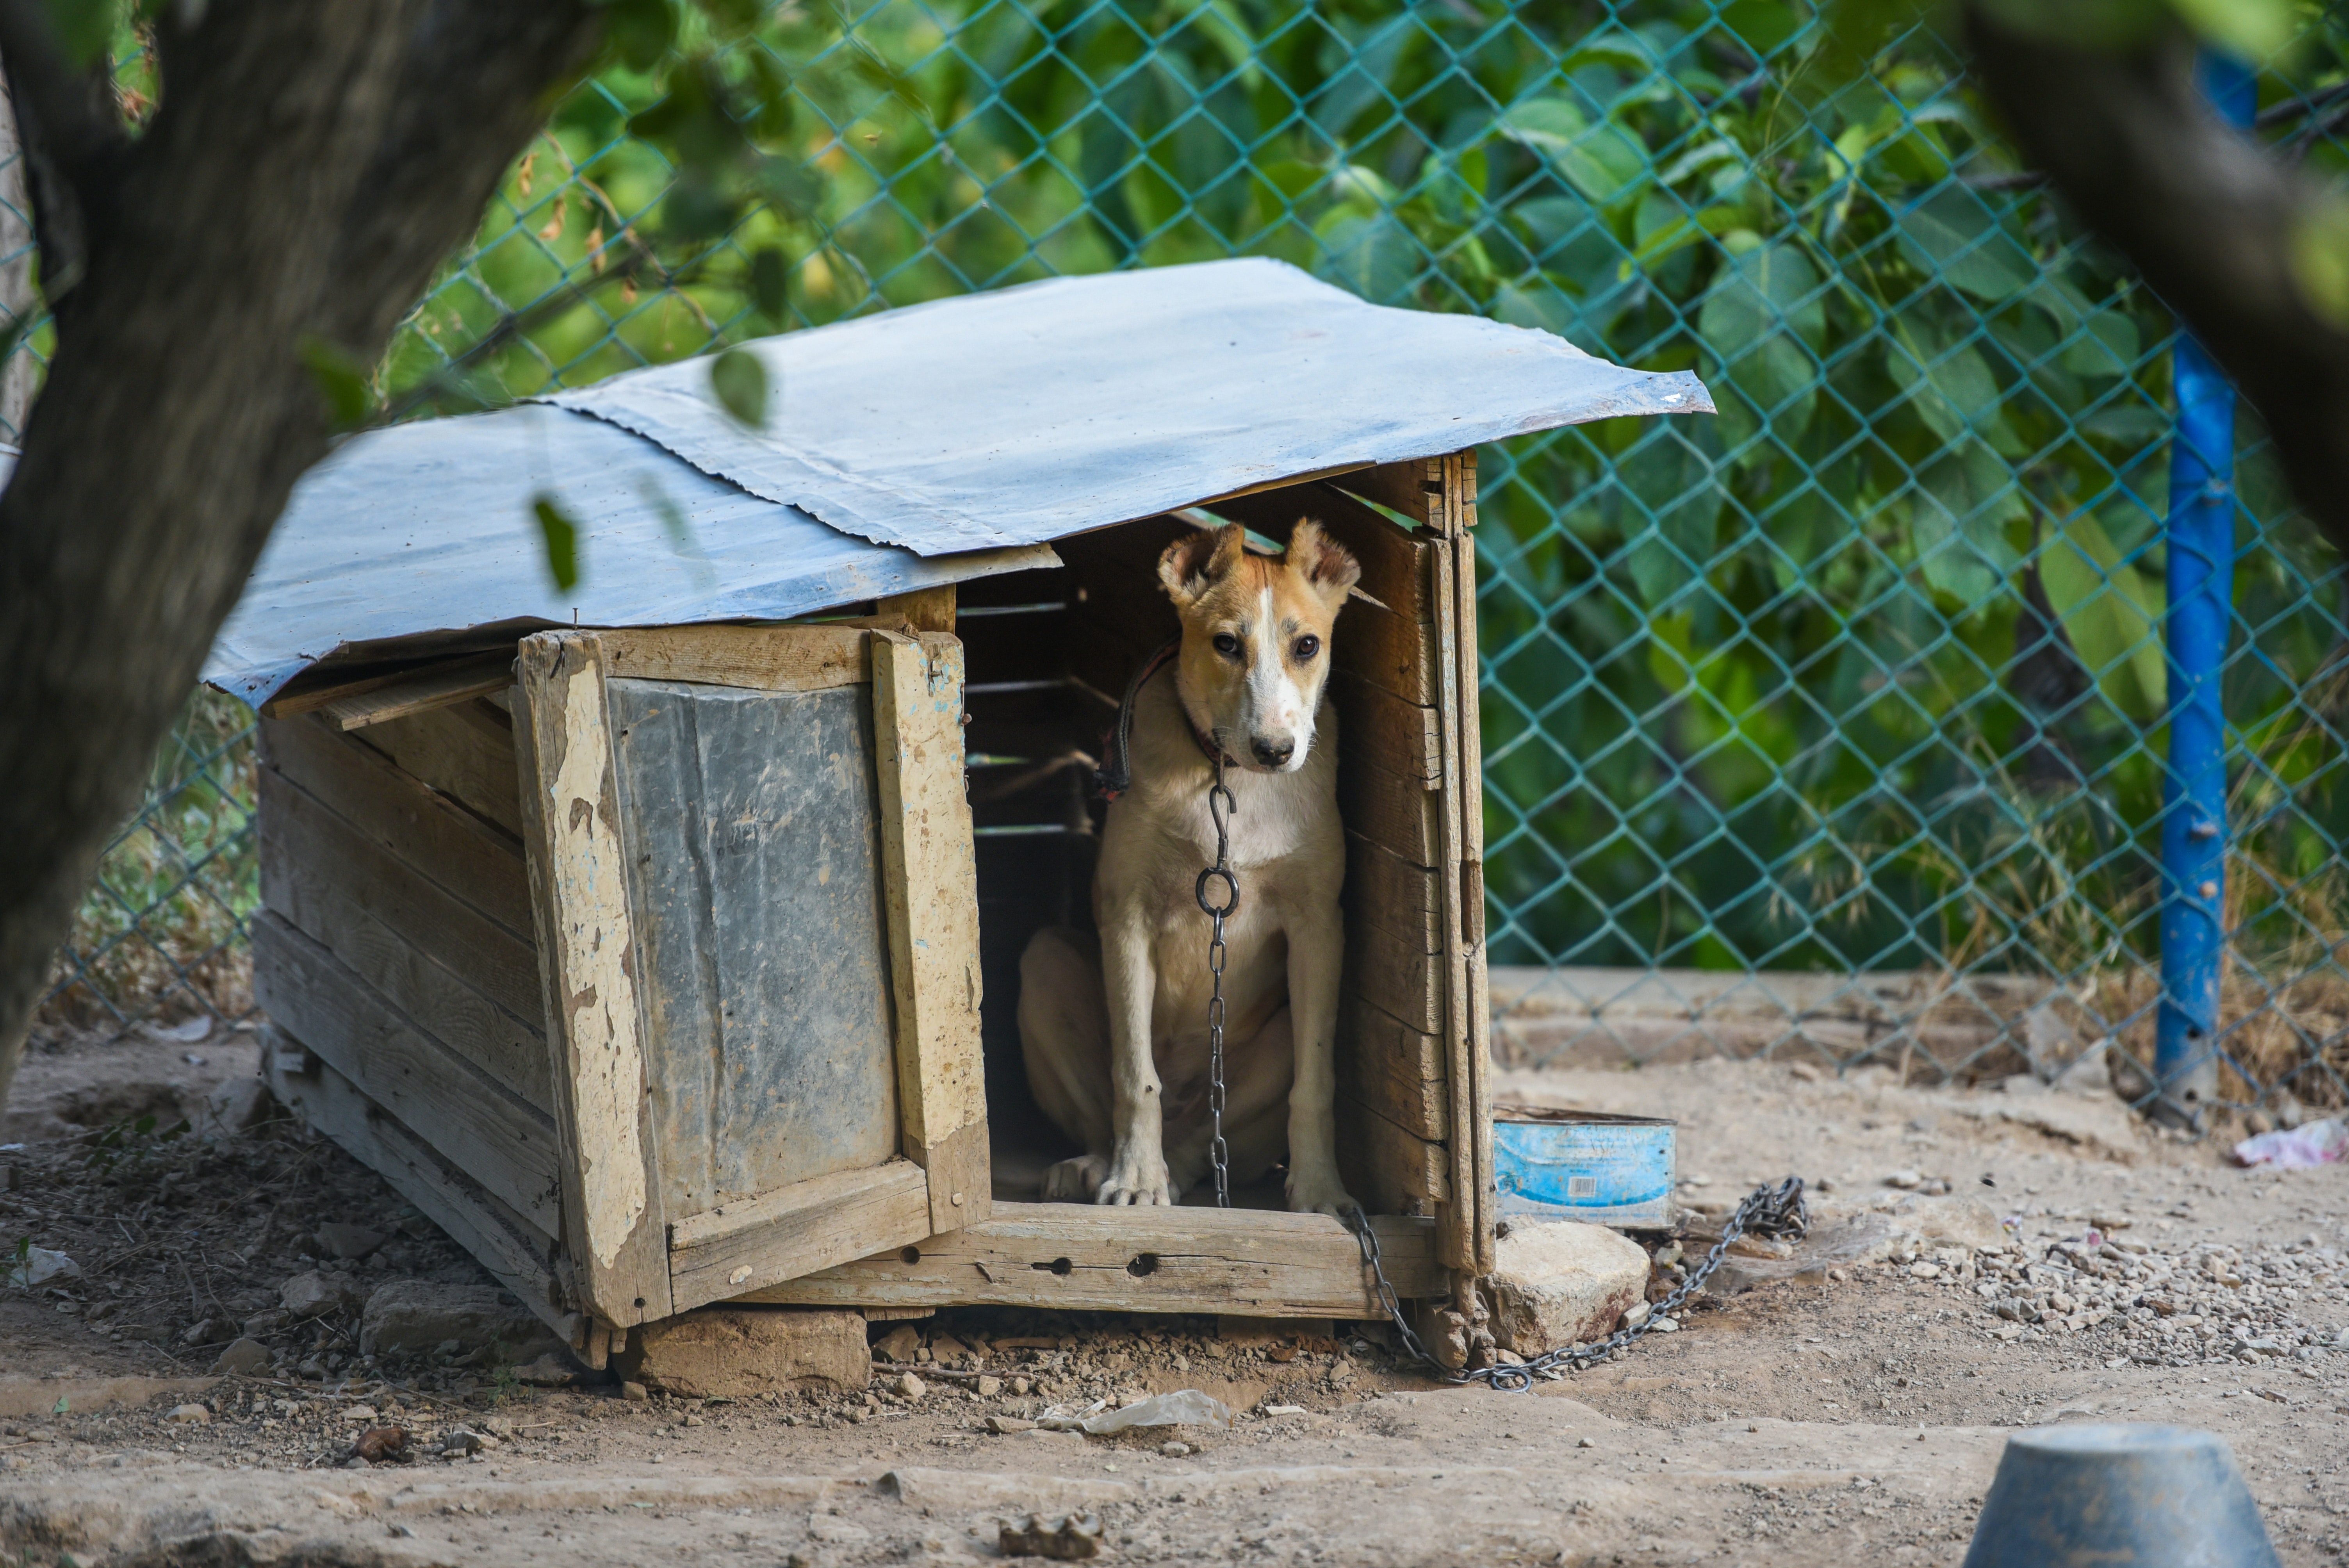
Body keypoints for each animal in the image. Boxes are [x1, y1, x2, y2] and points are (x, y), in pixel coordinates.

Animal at [1019, 521, 1372, 1221]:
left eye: (1308, 645)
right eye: (1226, 644)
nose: (1275, 751)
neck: (1227, 781)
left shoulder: (1319, 928)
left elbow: (1315, 1084)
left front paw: (1321, 1191)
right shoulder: (1125, 916)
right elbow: (1135, 1075)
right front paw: (1133, 1180)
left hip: (1272, 1039)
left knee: (1203, 1147)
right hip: (1045, 962)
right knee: (1122, 1114)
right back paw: (1100, 1167)